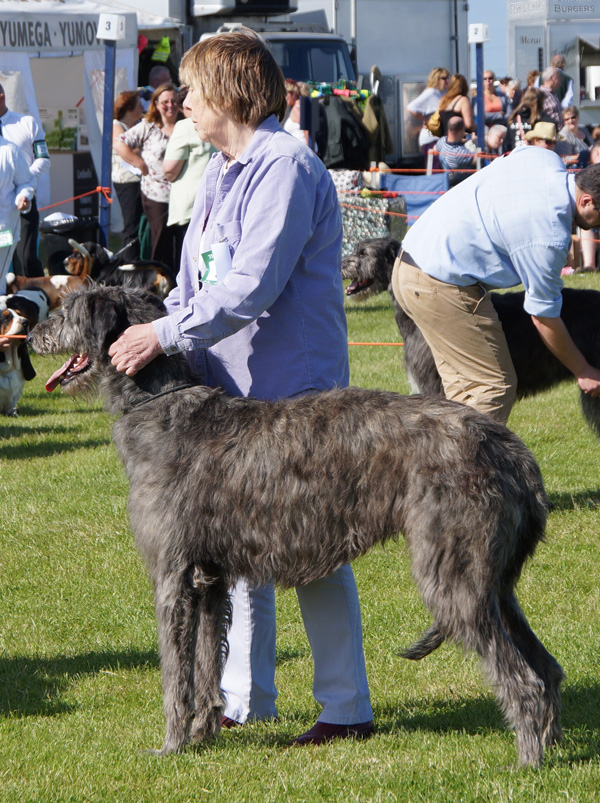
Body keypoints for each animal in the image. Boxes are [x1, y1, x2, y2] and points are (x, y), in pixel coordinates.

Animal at [28, 288, 564, 768]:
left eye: (68, 309)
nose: (31, 334)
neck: (162, 408)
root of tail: (509, 446)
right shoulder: (209, 578)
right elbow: (206, 664)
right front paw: (203, 735)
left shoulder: (172, 578)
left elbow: (175, 675)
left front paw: (171, 746)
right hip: (493, 580)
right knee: (547, 667)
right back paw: (552, 744)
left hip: (453, 574)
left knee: (523, 679)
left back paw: (526, 762)